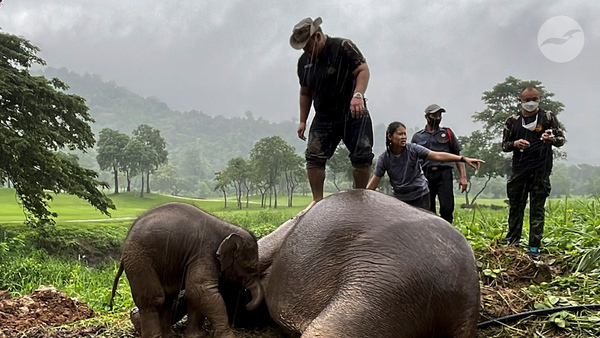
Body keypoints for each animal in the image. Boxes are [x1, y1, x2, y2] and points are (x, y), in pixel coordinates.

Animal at [110, 202, 262, 336]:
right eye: (251, 268)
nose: (247, 303)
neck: (228, 228)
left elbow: (194, 294)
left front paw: (197, 336)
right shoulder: (204, 252)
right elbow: (199, 289)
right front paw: (228, 336)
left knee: (168, 298)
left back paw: (168, 335)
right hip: (139, 259)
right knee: (154, 298)